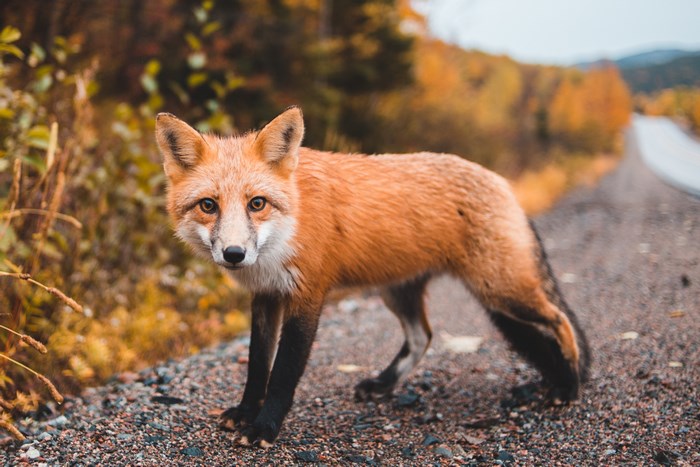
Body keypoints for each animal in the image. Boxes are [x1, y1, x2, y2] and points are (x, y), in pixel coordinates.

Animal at [155, 107, 590, 448]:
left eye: (257, 203)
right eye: (208, 205)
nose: (234, 254)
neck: (290, 224)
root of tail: (502, 182)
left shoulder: (307, 296)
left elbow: (283, 374)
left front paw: (265, 427)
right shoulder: (265, 296)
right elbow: (257, 365)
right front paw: (247, 412)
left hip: (500, 291)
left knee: (560, 321)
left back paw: (568, 385)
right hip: (401, 293)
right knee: (422, 336)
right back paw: (383, 384)